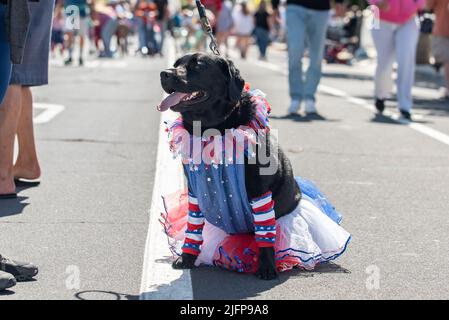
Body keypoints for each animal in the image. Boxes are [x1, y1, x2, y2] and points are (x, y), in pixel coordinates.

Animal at [158, 53, 300, 280]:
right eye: (176, 64)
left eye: (198, 66)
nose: (164, 73)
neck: (212, 132)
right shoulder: (196, 193)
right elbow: (193, 228)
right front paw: (187, 258)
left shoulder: (260, 193)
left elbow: (265, 235)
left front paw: (267, 267)